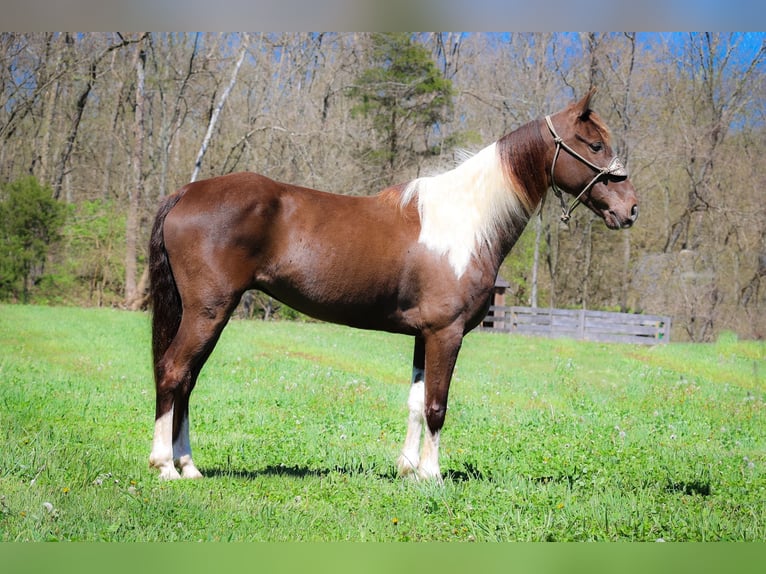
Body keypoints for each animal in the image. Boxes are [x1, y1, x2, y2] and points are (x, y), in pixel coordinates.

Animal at [147, 90, 640, 482]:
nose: (630, 208)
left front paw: (408, 468)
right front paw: (432, 475)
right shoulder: (447, 333)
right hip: (209, 311)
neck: (467, 222)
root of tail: (185, 193)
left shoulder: (425, 335)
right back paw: (166, 466)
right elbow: (438, 404)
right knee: (174, 371)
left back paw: (189, 465)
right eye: (595, 144)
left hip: (208, 314)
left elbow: (416, 401)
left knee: (186, 380)